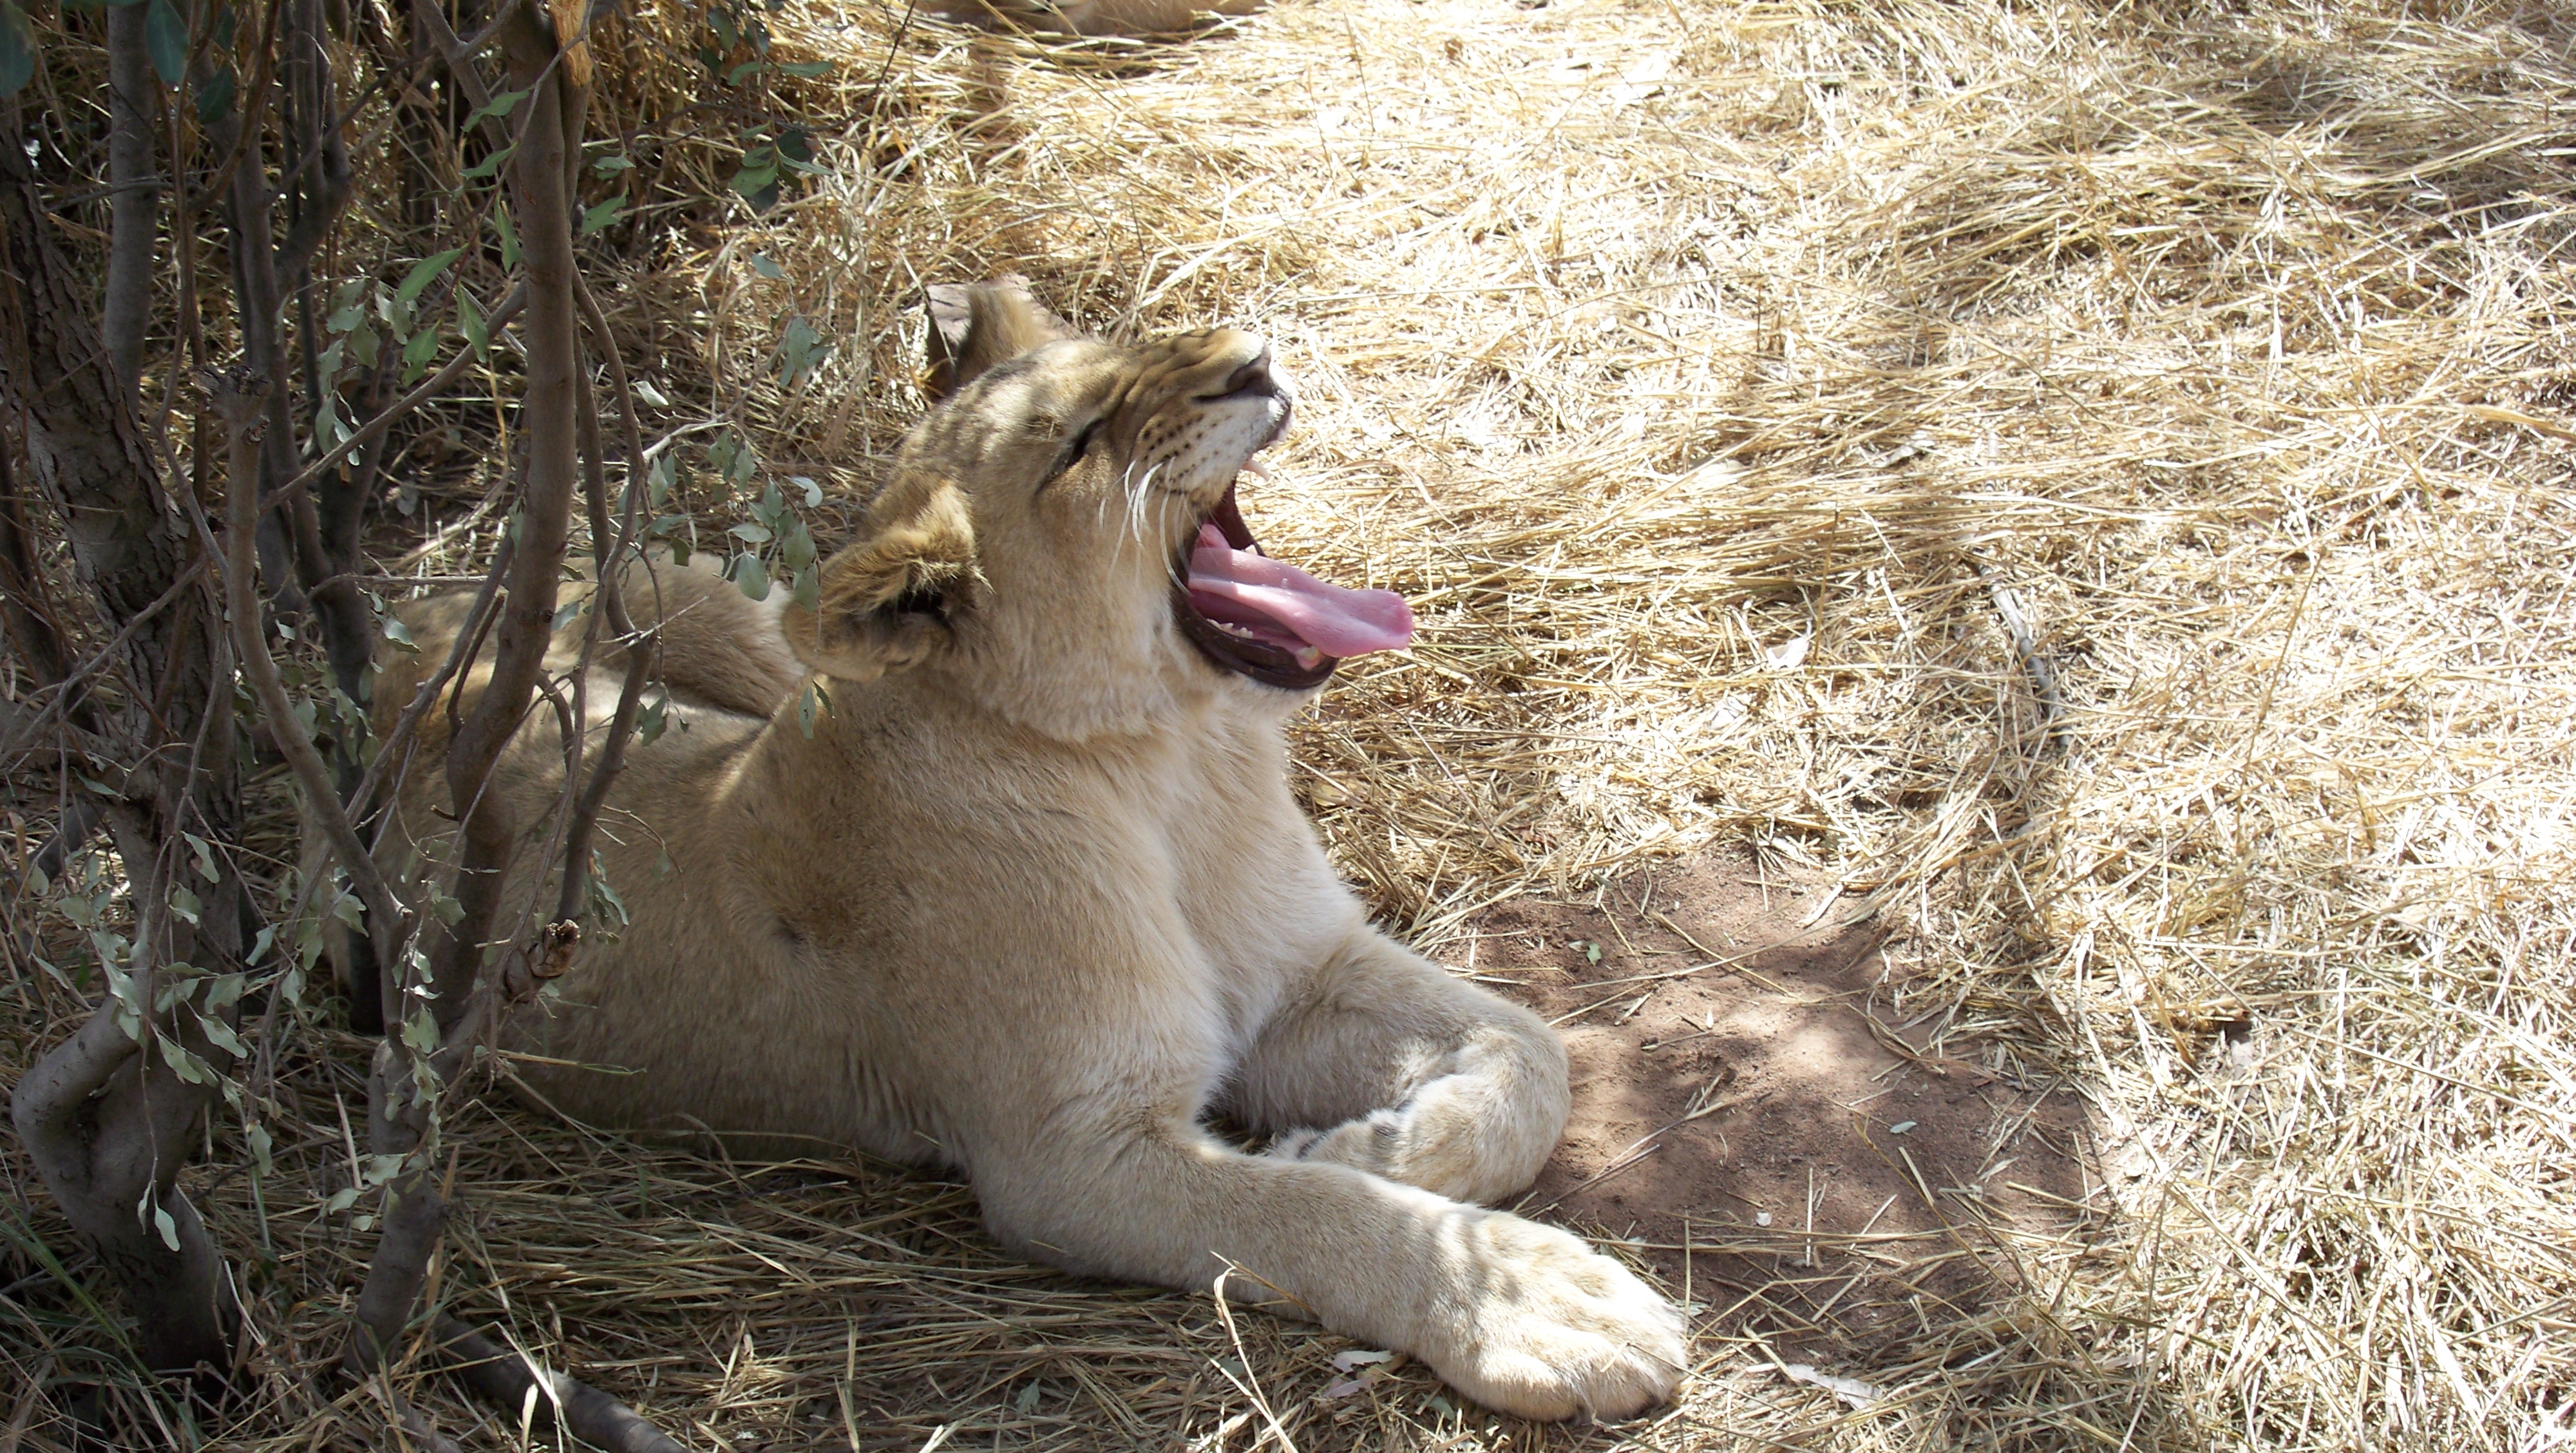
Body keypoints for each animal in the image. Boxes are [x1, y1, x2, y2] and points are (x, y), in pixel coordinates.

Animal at [362, 279, 1687, 1420]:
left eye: (1127, 348)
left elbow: (1532, 1050)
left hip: (727, 614)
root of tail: (411, 623)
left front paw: (1387, 1142)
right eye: (1082, 443)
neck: (1172, 767)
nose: (1253, 359)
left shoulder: (1307, 976)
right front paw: (1535, 1297)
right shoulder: (1069, 1158)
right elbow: (1311, 1211)